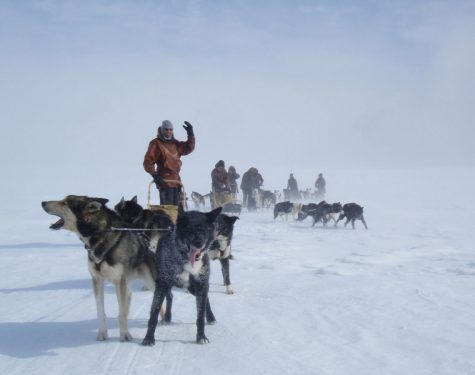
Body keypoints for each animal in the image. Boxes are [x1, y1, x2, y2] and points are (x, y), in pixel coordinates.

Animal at [41, 197, 160, 344]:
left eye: (65, 203)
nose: (43, 202)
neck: (101, 238)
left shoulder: (119, 280)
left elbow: (121, 312)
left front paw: (125, 334)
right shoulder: (97, 280)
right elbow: (101, 311)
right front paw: (103, 333)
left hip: (150, 281)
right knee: (129, 295)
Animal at [142, 206, 222, 346]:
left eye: (205, 229)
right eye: (189, 229)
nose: (198, 243)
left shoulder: (201, 285)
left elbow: (200, 315)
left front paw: (201, 336)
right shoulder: (162, 285)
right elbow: (154, 312)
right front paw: (149, 338)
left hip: (195, 288)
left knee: (205, 299)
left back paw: (211, 317)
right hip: (170, 285)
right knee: (170, 296)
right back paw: (167, 317)